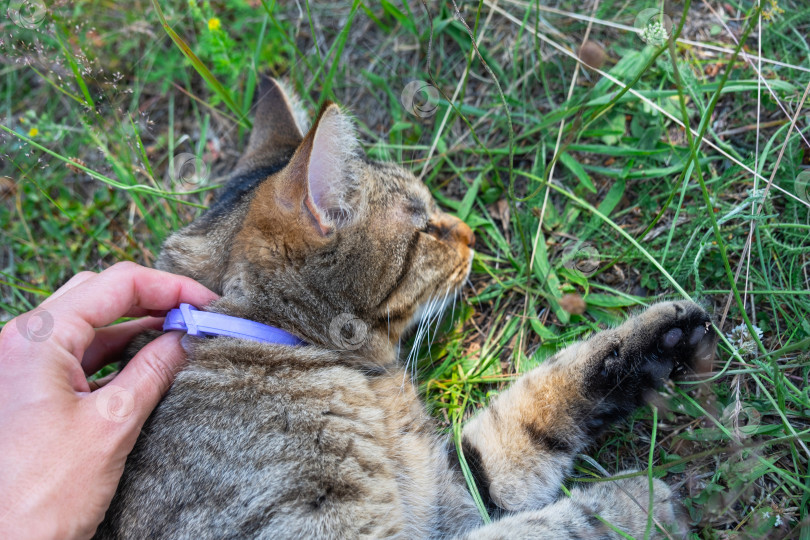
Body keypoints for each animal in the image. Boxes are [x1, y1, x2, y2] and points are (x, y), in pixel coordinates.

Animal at [93, 77, 712, 540]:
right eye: (425, 227)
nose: (470, 232)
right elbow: (550, 526)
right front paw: (637, 504)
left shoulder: (446, 485)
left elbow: (532, 407)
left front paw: (655, 343)